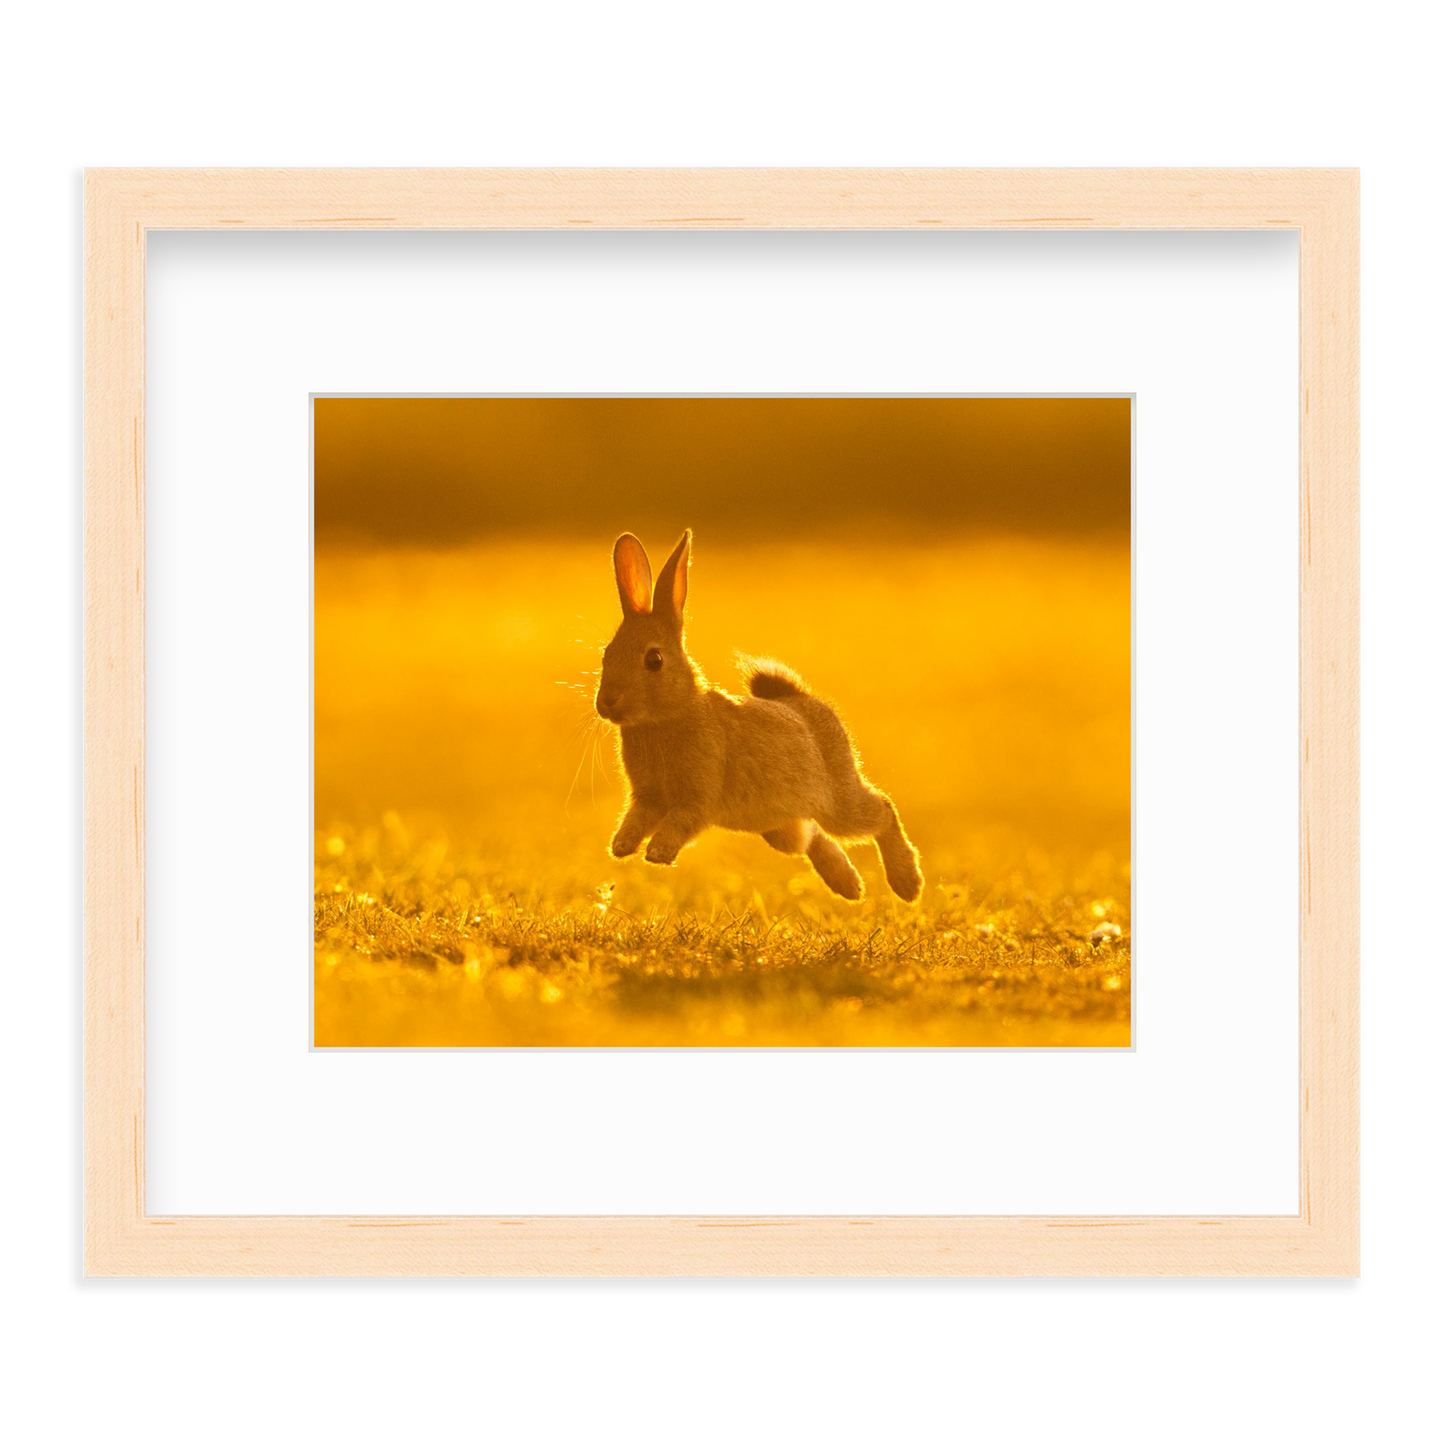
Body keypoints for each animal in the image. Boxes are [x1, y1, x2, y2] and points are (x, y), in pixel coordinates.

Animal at [594, 530, 923, 903]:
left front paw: (658, 852)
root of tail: (802, 699)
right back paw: (850, 886)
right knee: (811, 836)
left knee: (882, 810)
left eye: (654, 660)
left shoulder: (697, 796)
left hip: (838, 803)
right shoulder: (647, 798)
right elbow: (636, 818)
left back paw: (907, 885)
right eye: (607, 654)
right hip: (780, 827)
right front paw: (621, 846)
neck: (667, 716)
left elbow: (682, 821)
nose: (607, 703)